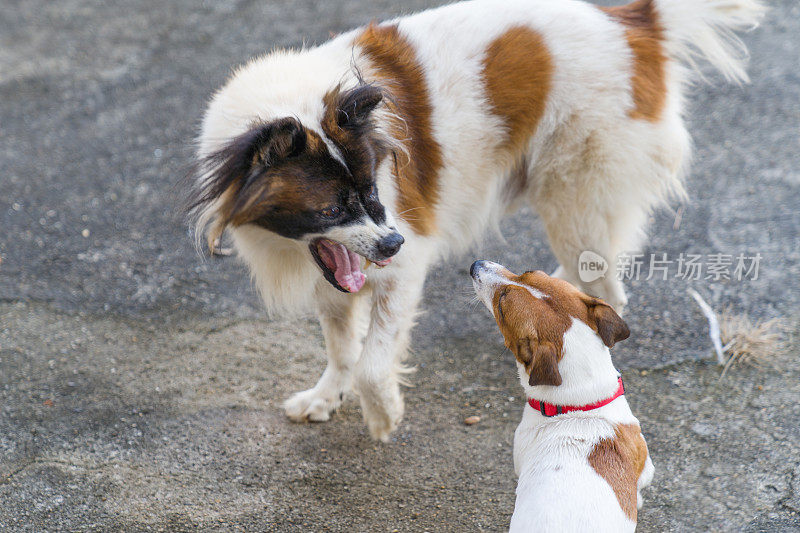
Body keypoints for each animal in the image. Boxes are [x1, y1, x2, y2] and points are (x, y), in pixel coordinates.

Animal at [186, 1, 764, 440]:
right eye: (330, 209)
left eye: (372, 190)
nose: (391, 242)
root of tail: (632, 23)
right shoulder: (336, 271)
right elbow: (343, 346)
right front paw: (327, 397)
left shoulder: (404, 260)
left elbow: (373, 359)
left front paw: (382, 414)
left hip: (572, 192)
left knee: (605, 288)